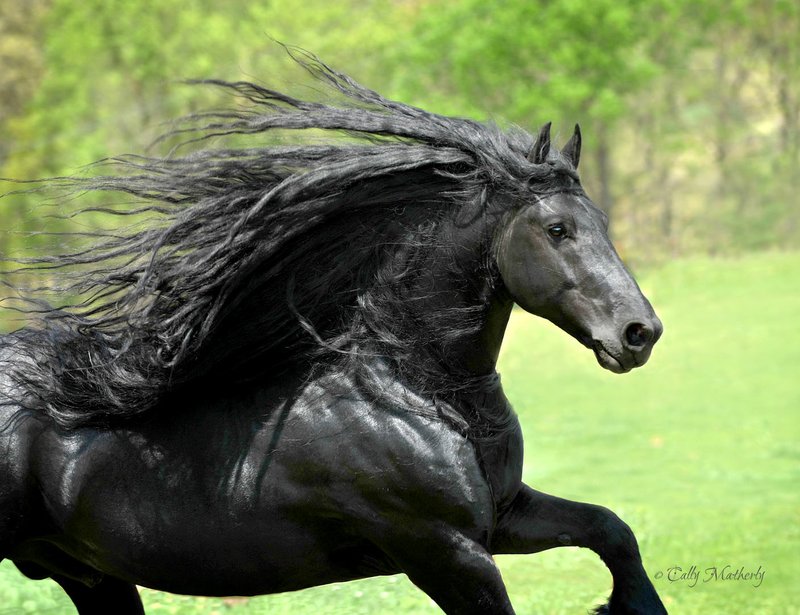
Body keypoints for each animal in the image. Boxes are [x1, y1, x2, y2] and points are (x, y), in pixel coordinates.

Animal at [0, 50, 664, 612]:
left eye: (602, 221)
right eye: (557, 230)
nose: (641, 333)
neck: (413, 392)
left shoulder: (503, 516)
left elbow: (612, 530)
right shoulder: (443, 550)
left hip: (90, 574)